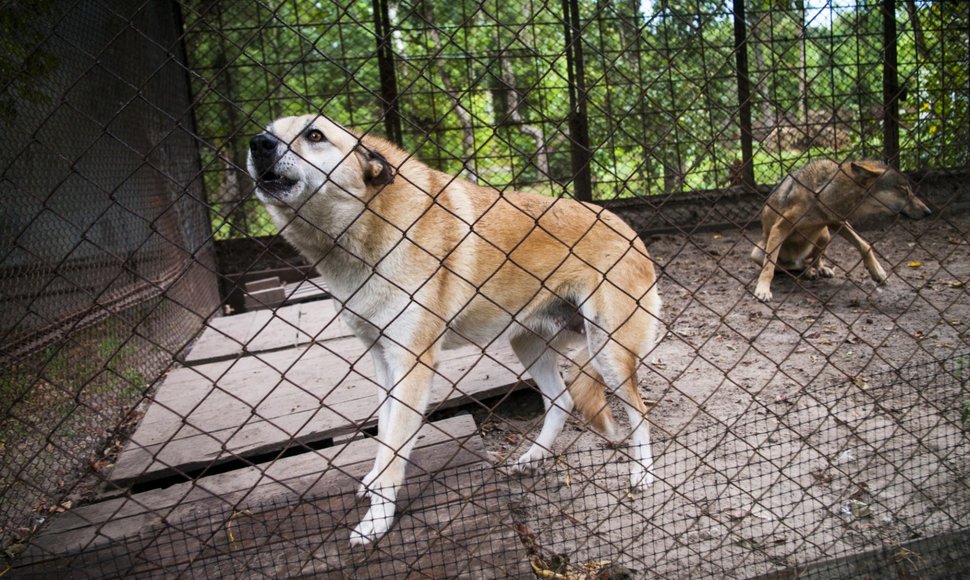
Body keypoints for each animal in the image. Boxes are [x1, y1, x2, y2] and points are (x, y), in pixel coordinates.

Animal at [246, 113, 660, 544]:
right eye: (269, 132)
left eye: (314, 135)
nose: (258, 145)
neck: (367, 229)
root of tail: (626, 228)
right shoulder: (382, 361)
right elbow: (384, 433)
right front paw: (373, 482)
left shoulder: (412, 364)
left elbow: (395, 449)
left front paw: (376, 522)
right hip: (530, 345)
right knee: (561, 401)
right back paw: (532, 457)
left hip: (608, 352)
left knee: (640, 412)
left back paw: (643, 474)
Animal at [748, 160, 932, 304]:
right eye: (904, 191)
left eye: (909, 191)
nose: (929, 212)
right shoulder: (780, 228)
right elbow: (769, 267)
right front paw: (763, 290)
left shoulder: (837, 222)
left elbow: (864, 244)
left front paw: (877, 271)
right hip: (757, 252)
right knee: (789, 266)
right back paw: (808, 271)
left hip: (825, 235)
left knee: (811, 261)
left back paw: (819, 270)